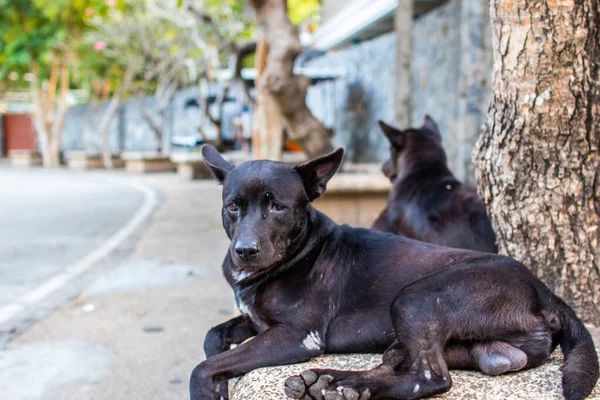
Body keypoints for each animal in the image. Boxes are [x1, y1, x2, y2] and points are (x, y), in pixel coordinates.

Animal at [193, 146, 600, 400]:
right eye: (233, 207)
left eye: (277, 206)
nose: (245, 252)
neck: (301, 249)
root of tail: (544, 291)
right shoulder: (255, 321)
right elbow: (212, 337)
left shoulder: (295, 336)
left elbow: (202, 367)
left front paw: (210, 388)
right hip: (428, 340)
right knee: (395, 366)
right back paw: (329, 382)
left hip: (413, 298)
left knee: (429, 378)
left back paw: (344, 387)